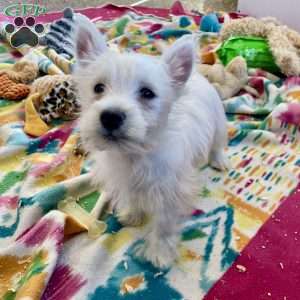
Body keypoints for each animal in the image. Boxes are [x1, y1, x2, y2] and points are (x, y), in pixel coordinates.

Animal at [74, 16, 229, 268]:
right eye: (98, 88)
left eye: (147, 93)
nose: (111, 116)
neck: (136, 153)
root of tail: (196, 75)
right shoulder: (127, 182)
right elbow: (133, 198)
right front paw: (133, 215)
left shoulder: (171, 193)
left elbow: (164, 225)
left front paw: (159, 252)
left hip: (218, 123)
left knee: (216, 144)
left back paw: (219, 160)